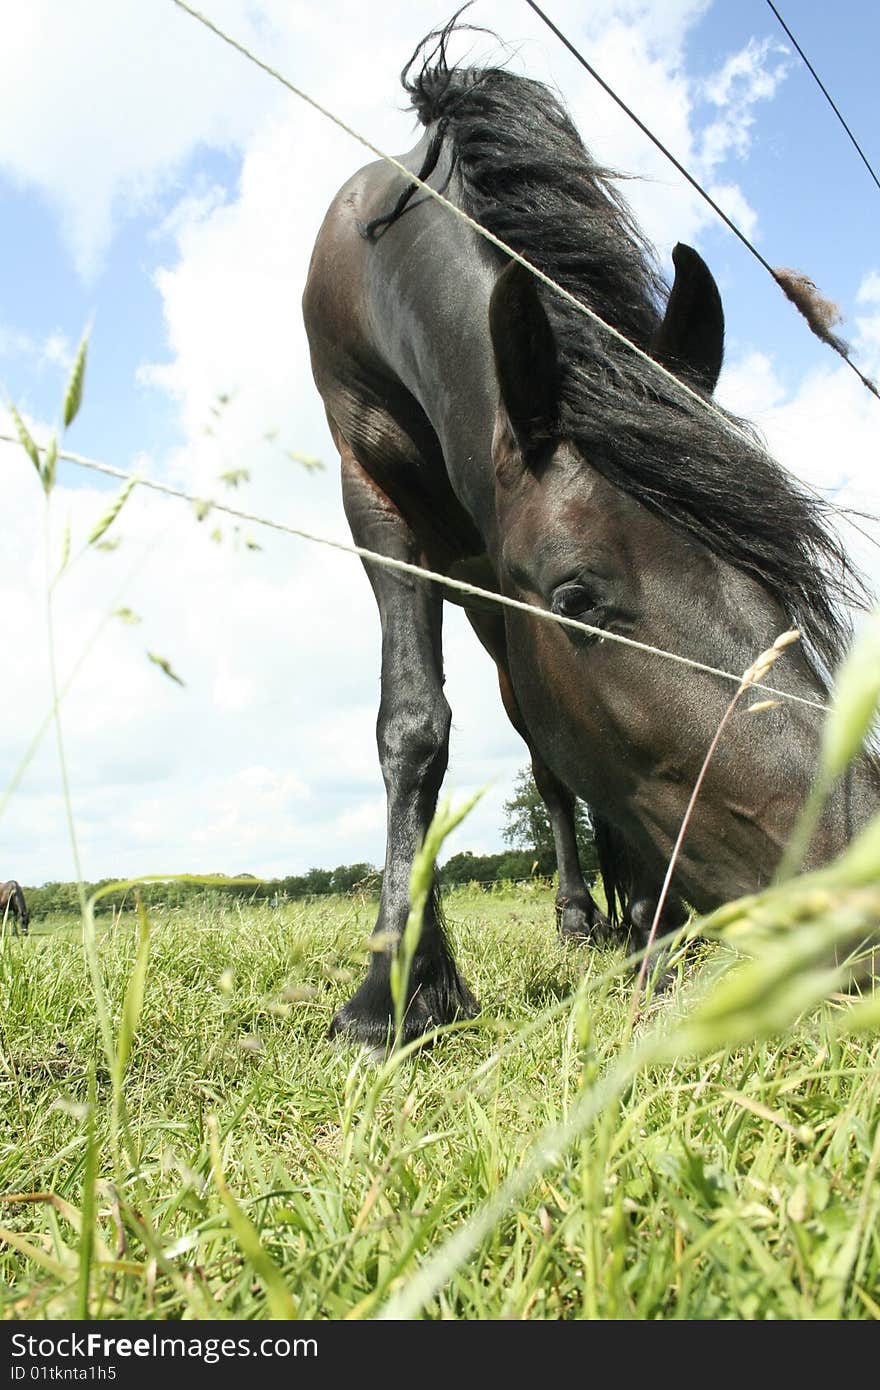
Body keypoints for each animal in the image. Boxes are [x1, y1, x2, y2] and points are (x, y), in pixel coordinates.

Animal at [303, 19, 878, 1045]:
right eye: (575, 598)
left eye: (778, 574)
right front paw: (396, 991)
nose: (858, 881)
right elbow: (412, 723)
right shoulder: (372, 499)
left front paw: (651, 928)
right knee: (539, 752)